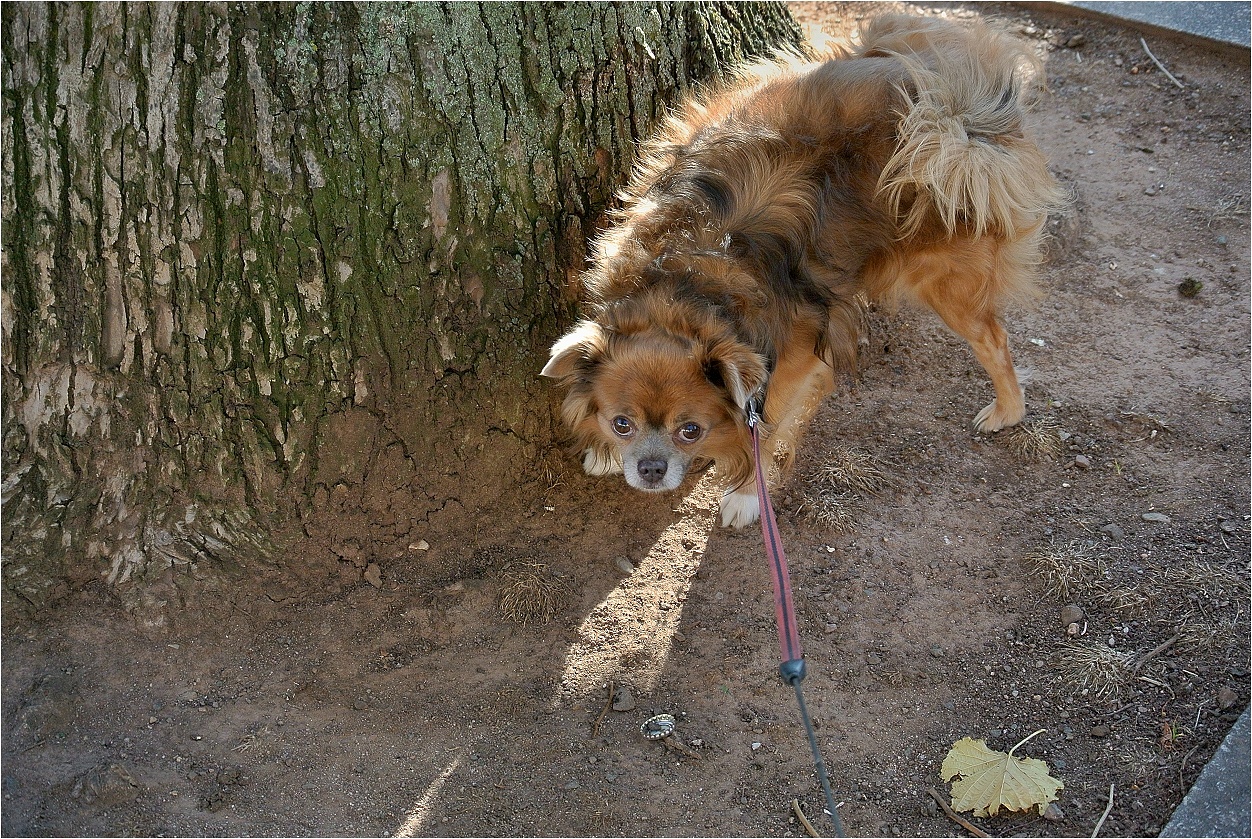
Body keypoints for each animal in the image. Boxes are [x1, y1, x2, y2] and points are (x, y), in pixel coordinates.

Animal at [542, 14, 1068, 528]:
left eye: (691, 431)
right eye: (621, 424)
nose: (651, 468)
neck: (684, 280)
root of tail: (963, 116)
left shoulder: (791, 360)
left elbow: (767, 426)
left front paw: (747, 495)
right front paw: (606, 452)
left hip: (945, 281)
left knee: (995, 340)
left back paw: (1006, 411)